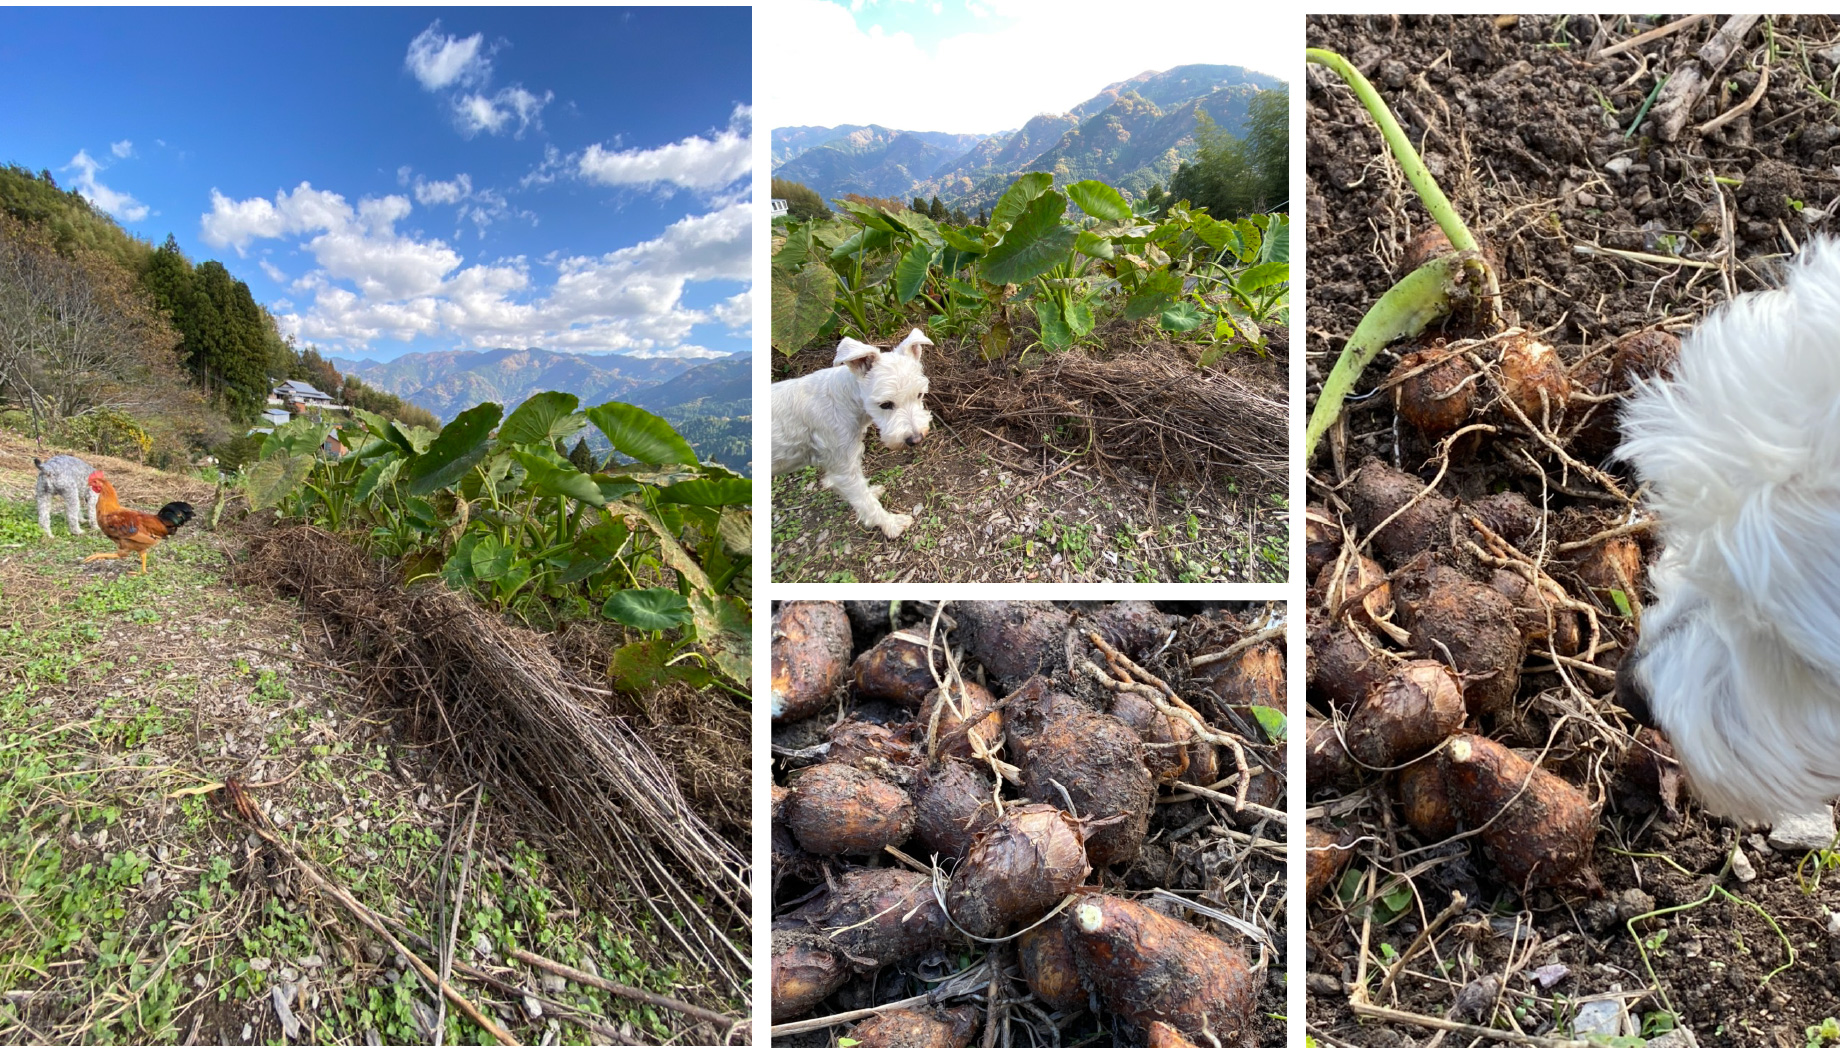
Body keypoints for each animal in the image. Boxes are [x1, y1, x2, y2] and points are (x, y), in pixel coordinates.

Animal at [765, 329, 927, 536]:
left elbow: (864, 493)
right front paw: (891, 524)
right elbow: (865, 502)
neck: (844, 400)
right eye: (885, 404)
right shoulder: (842, 468)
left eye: (919, 394)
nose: (916, 439)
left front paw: (872, 491)